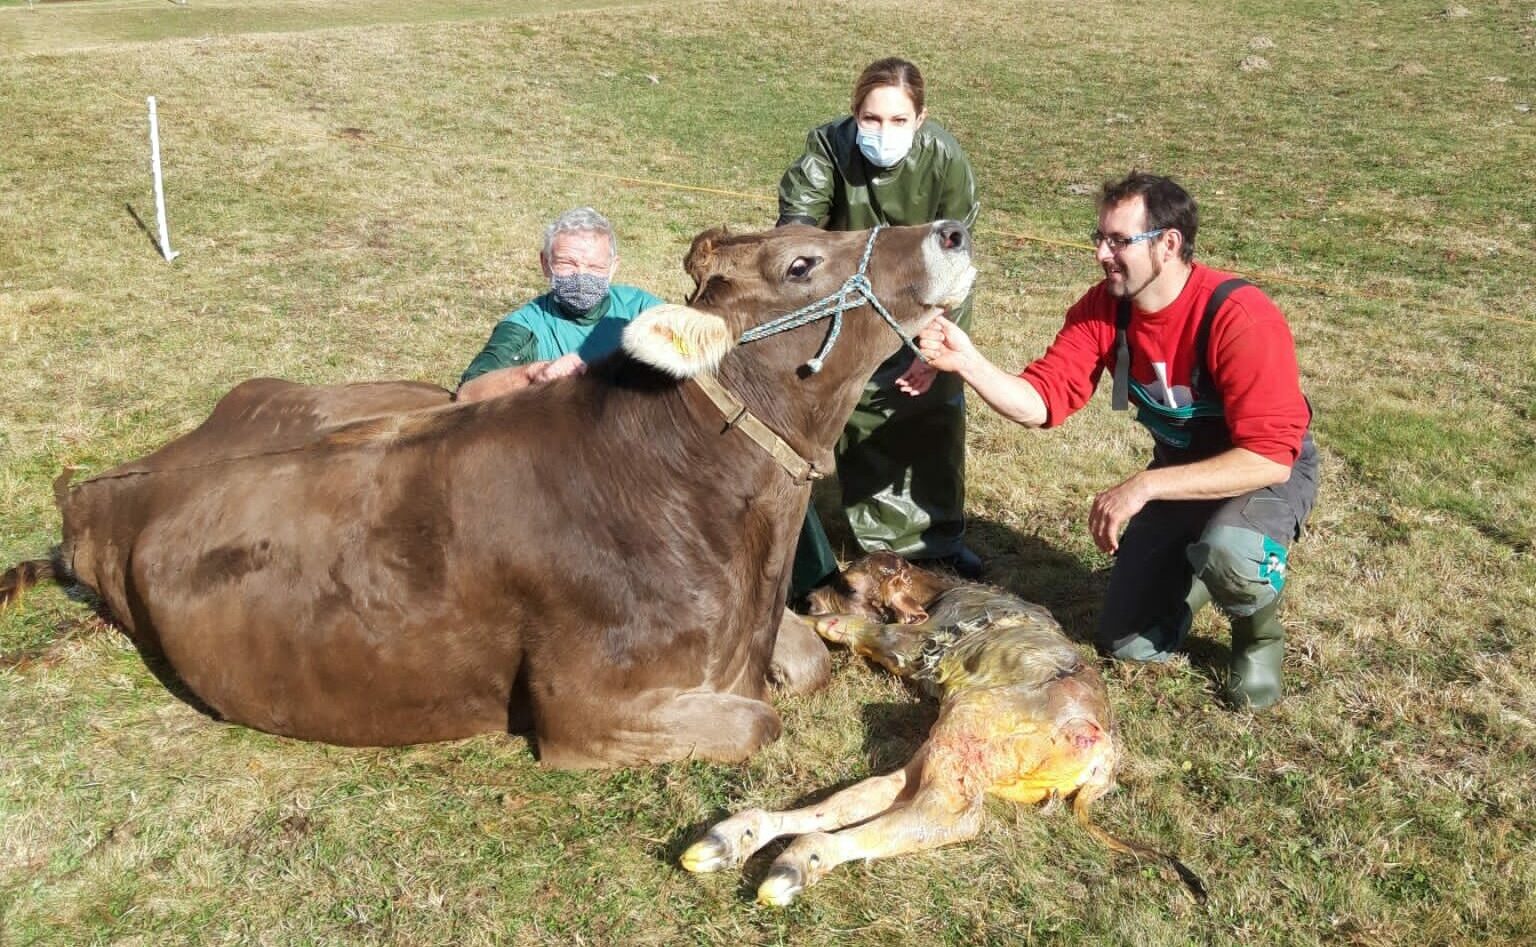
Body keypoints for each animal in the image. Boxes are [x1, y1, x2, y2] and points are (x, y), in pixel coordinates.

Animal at [3, 224, 970, 767]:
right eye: (803, 261)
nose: (953, 229)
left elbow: (804, 664)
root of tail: (107, 487)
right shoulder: (586, 708)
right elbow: (761, 721)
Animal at [678, 552, 1204, 902]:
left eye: (847, 585)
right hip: (956, 745)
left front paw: (815, 621)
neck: (937, 591)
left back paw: (795, 860)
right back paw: (737, 839)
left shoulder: (914, 639)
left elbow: (861, 629)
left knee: (950, 813)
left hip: (969, 726)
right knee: (869, 797)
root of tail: (1103, 750)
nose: (805, 599)